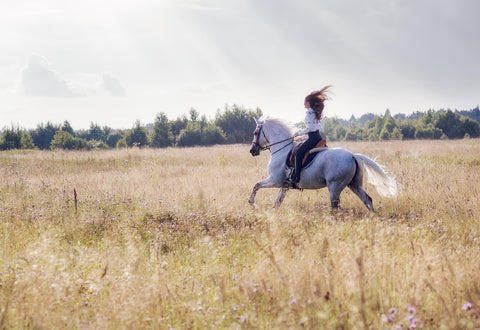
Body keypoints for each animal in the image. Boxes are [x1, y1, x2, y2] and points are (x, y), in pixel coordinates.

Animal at [248, 117, 398, 210]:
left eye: (255, 132)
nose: (252, 151)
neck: (281, 149)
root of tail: (352, 156)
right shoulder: (284, 185)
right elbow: (277, 203)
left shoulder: (275, 180)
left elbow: (256, 185)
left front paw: (252, 203)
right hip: (354, 185)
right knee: (367, 200)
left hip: (334, 187)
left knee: (336, 207)